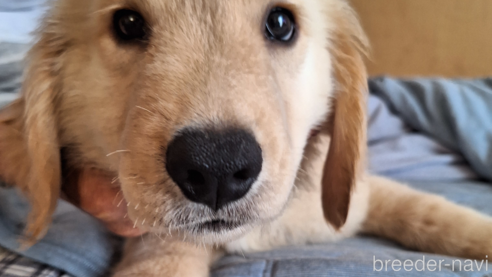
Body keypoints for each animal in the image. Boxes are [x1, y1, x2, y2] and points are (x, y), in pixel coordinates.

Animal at [0, 0, 490, 274]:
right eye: (128, 24)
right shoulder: (159, 239)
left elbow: (431, 212)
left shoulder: (354, 197)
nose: (215, 167)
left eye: (281, 22)